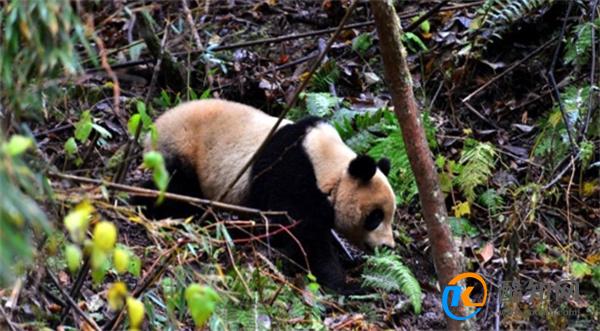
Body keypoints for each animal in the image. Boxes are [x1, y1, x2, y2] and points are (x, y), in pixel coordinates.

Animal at [145, 98, 396, 294]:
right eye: (375, 217)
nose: (388, 246)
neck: (330, 167)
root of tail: (154, 128)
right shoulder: (292, 176)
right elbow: (303, 235)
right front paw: (345, 284)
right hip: (181, 151)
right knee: (177, 192)